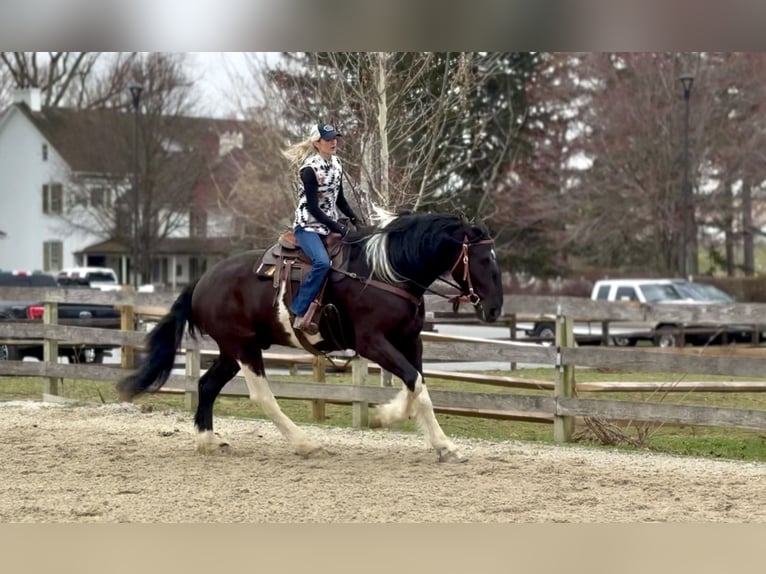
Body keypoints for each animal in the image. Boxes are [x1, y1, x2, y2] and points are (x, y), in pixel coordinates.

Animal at [117, 211, 504, 462]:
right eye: (484, 260)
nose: (495, 309)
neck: (387, 272)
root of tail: (201, 281)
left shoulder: (410, 340)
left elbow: (419, 387)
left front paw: (441, 444)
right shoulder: (372, 343)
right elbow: (415, 383)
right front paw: (386, 416)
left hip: (232, 350)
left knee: (207, 386)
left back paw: (208, 441)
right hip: (244, 348)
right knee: (262, 397)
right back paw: (305, 444)